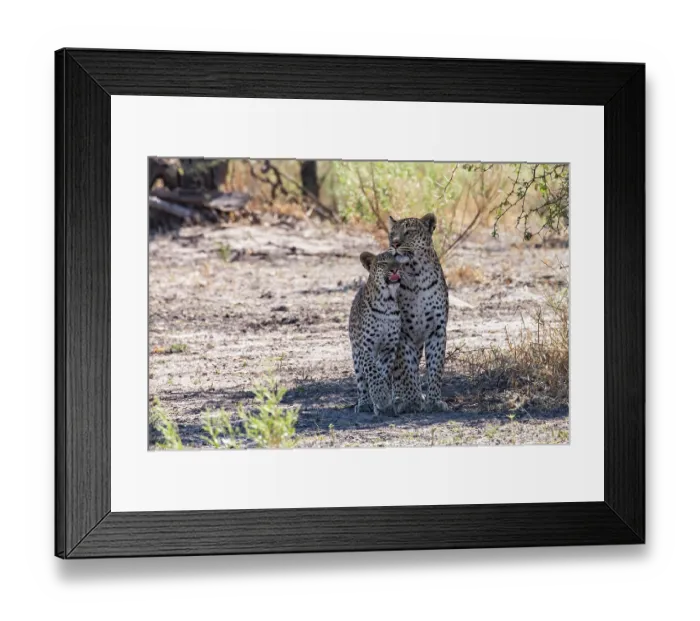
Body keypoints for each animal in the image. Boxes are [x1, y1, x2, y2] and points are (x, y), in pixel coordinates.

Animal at [348, 250, 406, 416]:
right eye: (384, 263)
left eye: (397, 261)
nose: (395, 269)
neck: (387, 301)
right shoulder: (366, 348)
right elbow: (373, 372)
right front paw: (380, 397)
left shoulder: (388, 349)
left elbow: (382, 373)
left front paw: (384, 399)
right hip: (356, 353)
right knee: (361, 381)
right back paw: (364, 403)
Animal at [388, 213, 450, 413]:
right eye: (392, 233)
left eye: (408, 232)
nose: (395, 243)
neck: (417, 273)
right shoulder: (403, 333)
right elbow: (407, 370)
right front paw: (413, 400)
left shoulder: (437, 330)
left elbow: (436, 367)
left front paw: (434, 400)